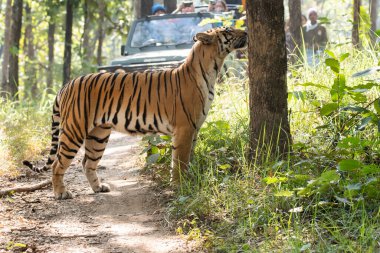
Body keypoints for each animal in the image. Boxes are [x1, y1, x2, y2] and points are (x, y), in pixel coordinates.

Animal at [31, 26, 248, 200]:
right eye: (228, 30)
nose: (246, 31)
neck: (212, 69)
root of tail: (66, 85)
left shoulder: (194, 129)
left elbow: (188, 159)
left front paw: (189, 180)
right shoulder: (185, 128)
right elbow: (179, 161)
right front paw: (180, 186)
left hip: (98, 135)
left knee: (87, 163)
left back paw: (99, 188)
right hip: (74, 130)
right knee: (57, 164)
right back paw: (61, 193)